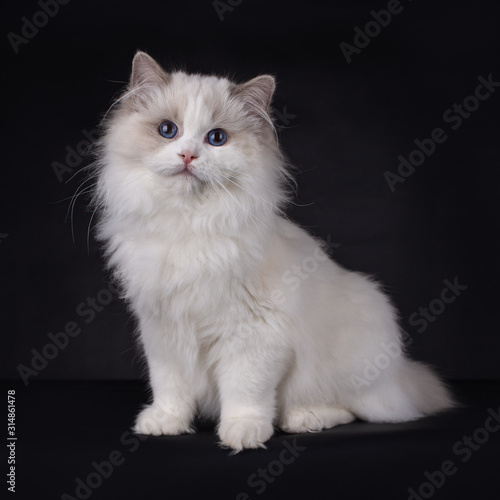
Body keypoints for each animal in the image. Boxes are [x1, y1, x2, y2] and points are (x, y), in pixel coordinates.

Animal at [92, 51, 456, 454]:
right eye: (167, 130)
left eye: (216, 138)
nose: (188, 155)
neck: (189, 225)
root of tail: (402, 375)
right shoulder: (163, 331)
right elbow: (171, 387)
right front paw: (166, 423)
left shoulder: (253, 335)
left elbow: (245, 392)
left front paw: (242, 433)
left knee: (356, 409)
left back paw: (303, 419)